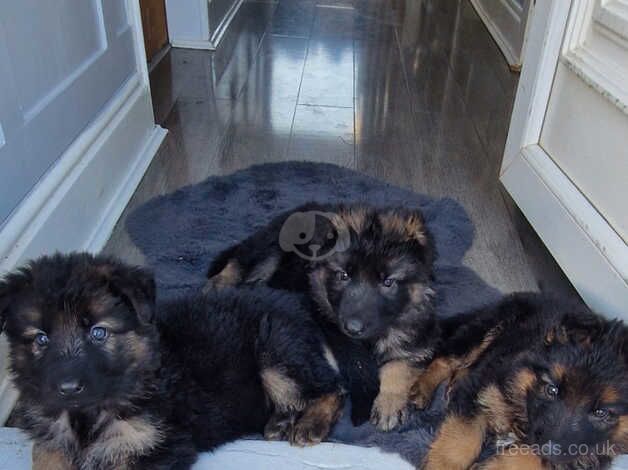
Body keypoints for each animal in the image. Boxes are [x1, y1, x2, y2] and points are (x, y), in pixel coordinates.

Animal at [0, 255, 344, 468]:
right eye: (41, 339)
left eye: (98, 332)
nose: (67, 389)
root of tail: (294, 301)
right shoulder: (53, 441)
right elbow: (45, 456)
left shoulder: (156, 445)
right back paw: (280, 421)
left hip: (275, 351)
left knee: (332, 388)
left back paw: (310, 423)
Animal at [206, 202, 436, 430]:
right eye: (344, 275)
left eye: (388, 282)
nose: (352, 328)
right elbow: (329, 379)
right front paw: (313, 421)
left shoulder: (417, 338)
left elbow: (400, 364)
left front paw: (389, 403)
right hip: (270, 249)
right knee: (239, 261)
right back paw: (218, 285)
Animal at [412, 292, 628, 468]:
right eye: (551, 390)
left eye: (601, 413)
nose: (549, 449)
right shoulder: (482, 387)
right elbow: (459, 443)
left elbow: (527, 459)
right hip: (486, 330)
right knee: (446, 358)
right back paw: (422, 388)